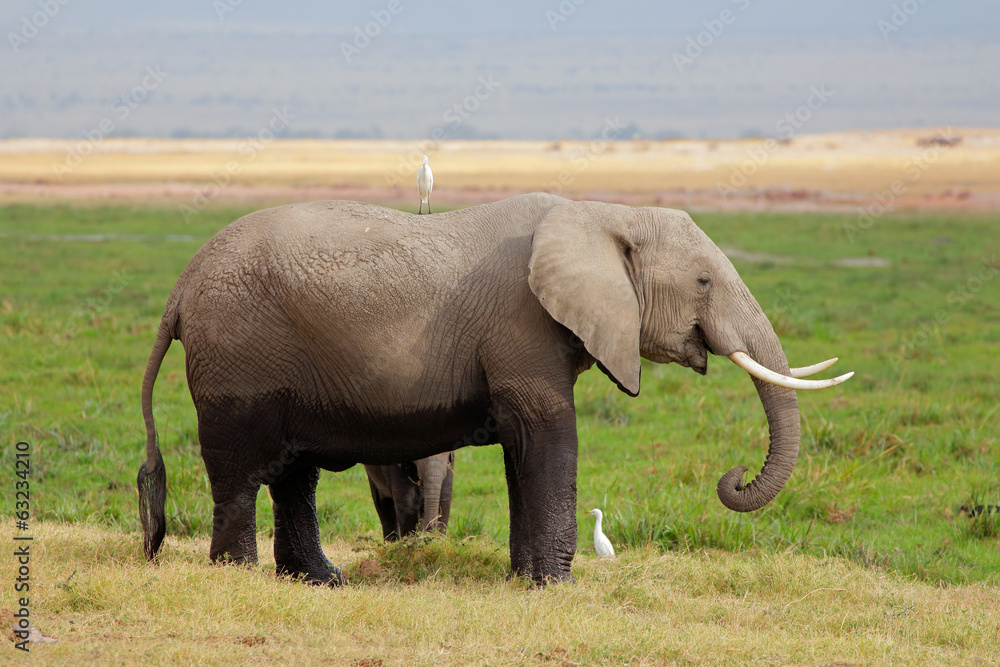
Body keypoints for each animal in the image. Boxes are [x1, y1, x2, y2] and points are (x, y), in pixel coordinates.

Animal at [137, 192, 851, 586]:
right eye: (704, 282)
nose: (734, 477)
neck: (601, 213)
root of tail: (178, 289)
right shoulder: (523, 325)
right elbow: (548, 435)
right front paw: (559, 588)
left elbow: (521, 448)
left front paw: (525, 581)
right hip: (239, 359)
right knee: (242, 471)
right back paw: (237, 576)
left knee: (293, 474)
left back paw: (321, 582)